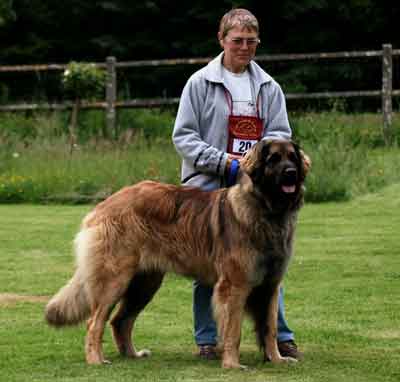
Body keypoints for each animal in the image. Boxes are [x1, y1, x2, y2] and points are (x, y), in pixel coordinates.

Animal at [46, 139, 310, 368]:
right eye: (273, 159)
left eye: (292, 158)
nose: (290, 173)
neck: (267, 211)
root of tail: (102, 206)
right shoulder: (235, 285)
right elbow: (233, 330)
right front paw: (232, 364)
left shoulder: (270, 285)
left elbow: (270, 328)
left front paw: (277, 359)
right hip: (115, 280)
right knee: (95, 322)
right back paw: (96, 360)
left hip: (144, 284)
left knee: (120, 320)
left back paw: (132, 354)